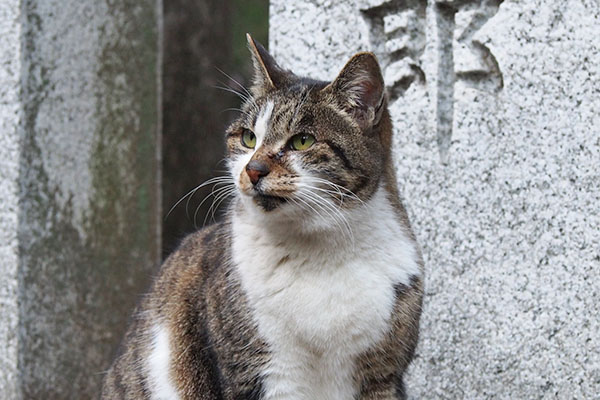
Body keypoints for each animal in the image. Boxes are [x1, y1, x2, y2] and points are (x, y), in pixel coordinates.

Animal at [101, 35, 424, 400]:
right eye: (248, 138)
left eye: (302, 141)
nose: (253, 169)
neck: (318, 251)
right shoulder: (260, 370)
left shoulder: (382, 375)